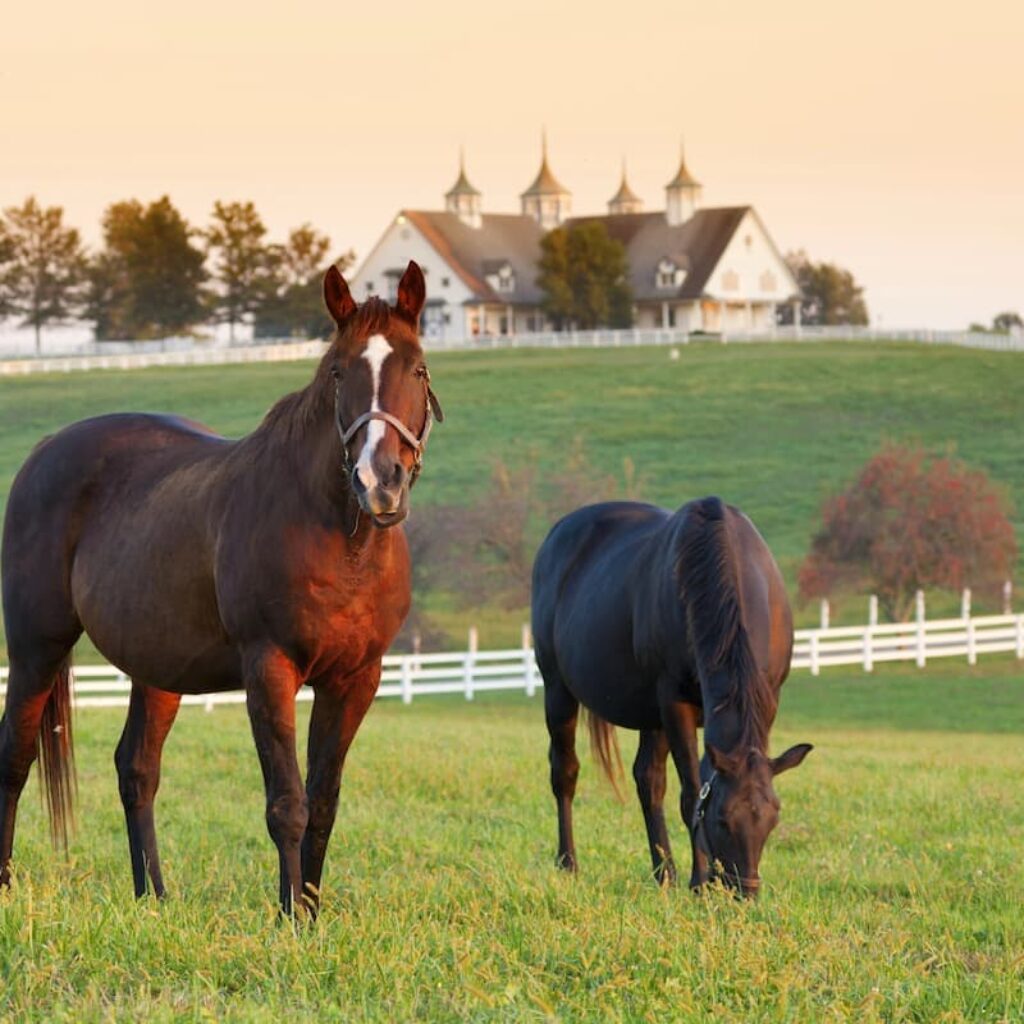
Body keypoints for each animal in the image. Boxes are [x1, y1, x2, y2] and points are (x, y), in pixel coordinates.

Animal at [0, 261, 443, 916]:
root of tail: (45, 450)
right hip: (37, 647)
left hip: (157, 667)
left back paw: (153, 898)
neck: (341, 542)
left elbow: (324, 803)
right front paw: (291, 920)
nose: (378, 481)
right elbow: (287, 804)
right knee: (16, 756)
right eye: (339, 372)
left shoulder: (356, 679)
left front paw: (312, 912)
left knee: (137, 769)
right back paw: (7, 884)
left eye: (417, 368)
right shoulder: (270, 668)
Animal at [531, 495, 812, 896]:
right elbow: (692, 793)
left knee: (648, 780)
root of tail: (557, 534)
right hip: (558, 690)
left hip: (650, 715)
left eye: (773, 818)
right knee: (565, 772)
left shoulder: (765, 700)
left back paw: (664, 874)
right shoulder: (674, 704)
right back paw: (568, 863)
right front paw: (700, 881)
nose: (744, 891)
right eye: (722, 820)